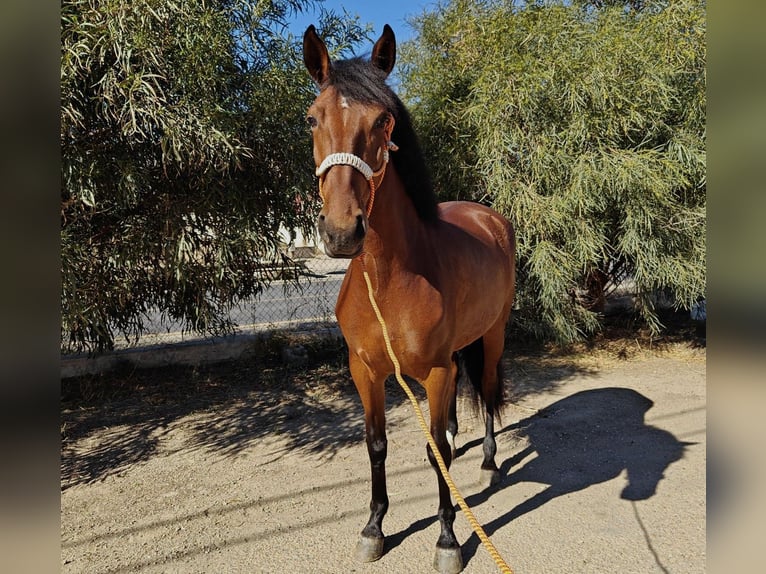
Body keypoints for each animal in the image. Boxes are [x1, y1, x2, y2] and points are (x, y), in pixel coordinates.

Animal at [304, 23, 516, 574]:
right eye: (312, 117)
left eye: (384, 120)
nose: (341, 232)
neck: (388, 280)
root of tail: (489, 216)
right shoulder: (365, 371)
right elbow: (377, 445)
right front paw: (374, 527)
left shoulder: (435, 372)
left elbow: (433, 449)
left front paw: (447, 539)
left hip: (494, 333)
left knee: (487, 387)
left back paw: (488, 461)